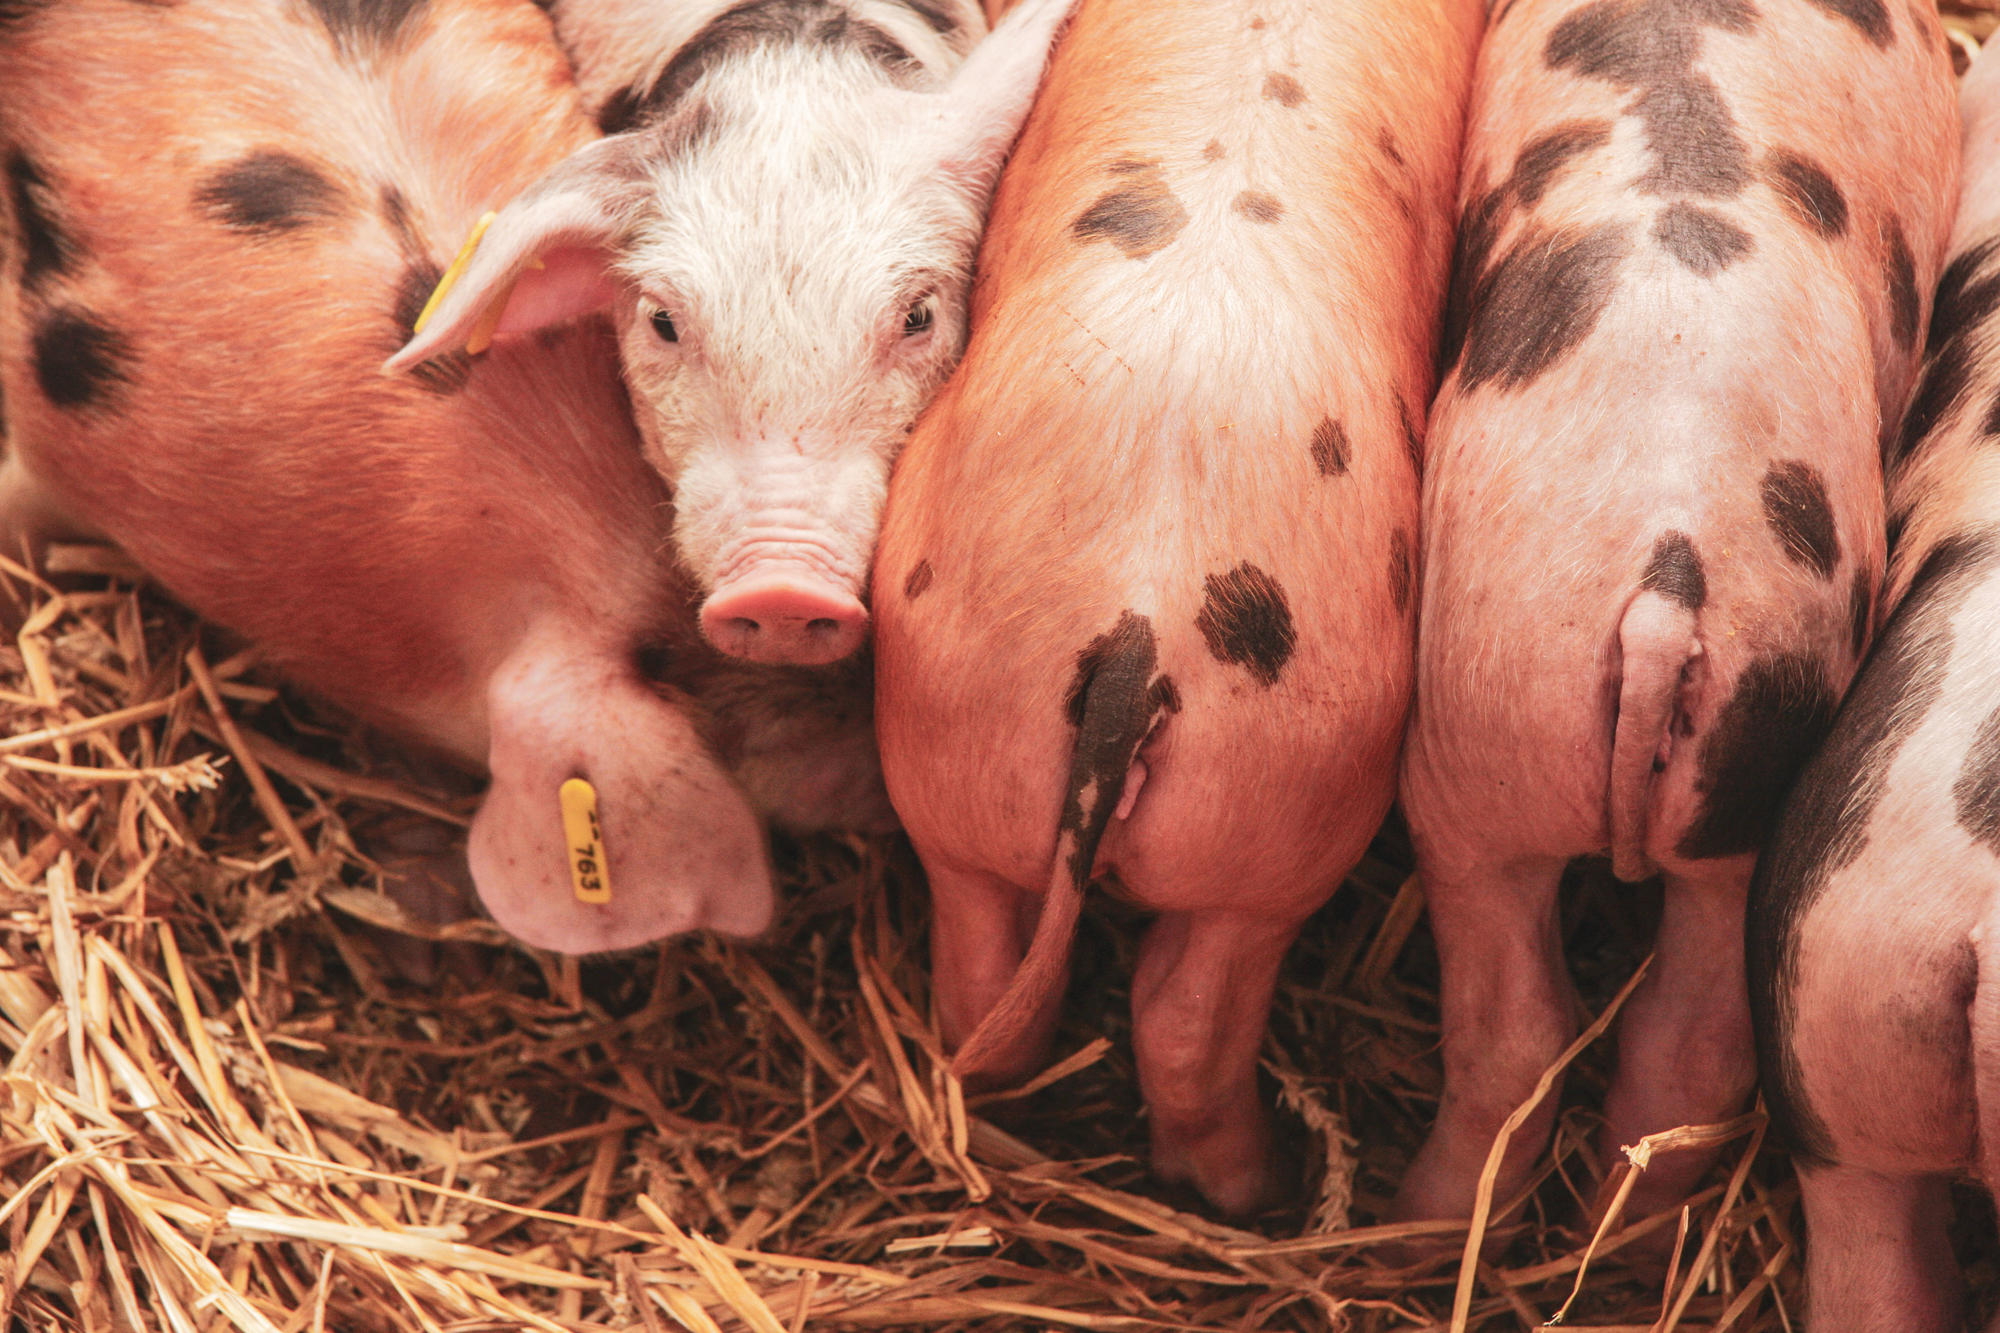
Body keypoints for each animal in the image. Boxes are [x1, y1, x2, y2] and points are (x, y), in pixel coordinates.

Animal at [872, 0, 1483, 1215]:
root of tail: (1135, 626)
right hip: (1294, 790)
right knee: (1181, 1015)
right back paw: (1262, 1192)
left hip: (953, 709)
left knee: (994, 975)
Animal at [1390, 0, 1958, 1232]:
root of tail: (1666, 580)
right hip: (1747, 766)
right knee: (1677, 1042)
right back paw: (1609, 1242)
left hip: (1473, 737)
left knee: (1519, 1027)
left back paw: (1417, 1231)